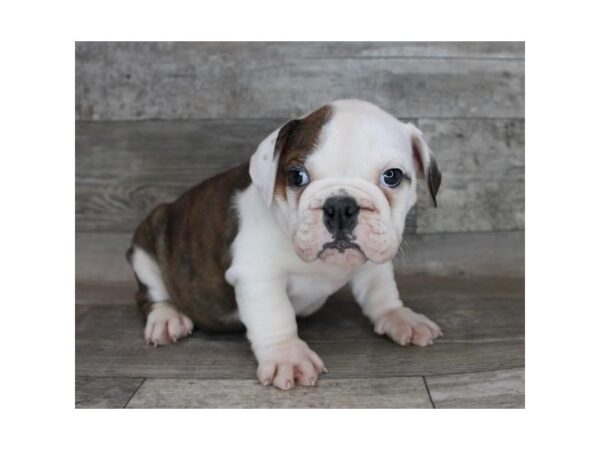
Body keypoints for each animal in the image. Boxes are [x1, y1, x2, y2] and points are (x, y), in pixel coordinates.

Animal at [126, 99, 442, 390]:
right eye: (296, 176)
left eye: (392, 176)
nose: (340, 207)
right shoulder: (258, 276)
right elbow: (275, 315)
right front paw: (287, 356)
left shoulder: (373, 261)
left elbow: (380, 292)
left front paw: (399, 316)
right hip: (148, 240)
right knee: (150, 293)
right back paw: (166, 318)